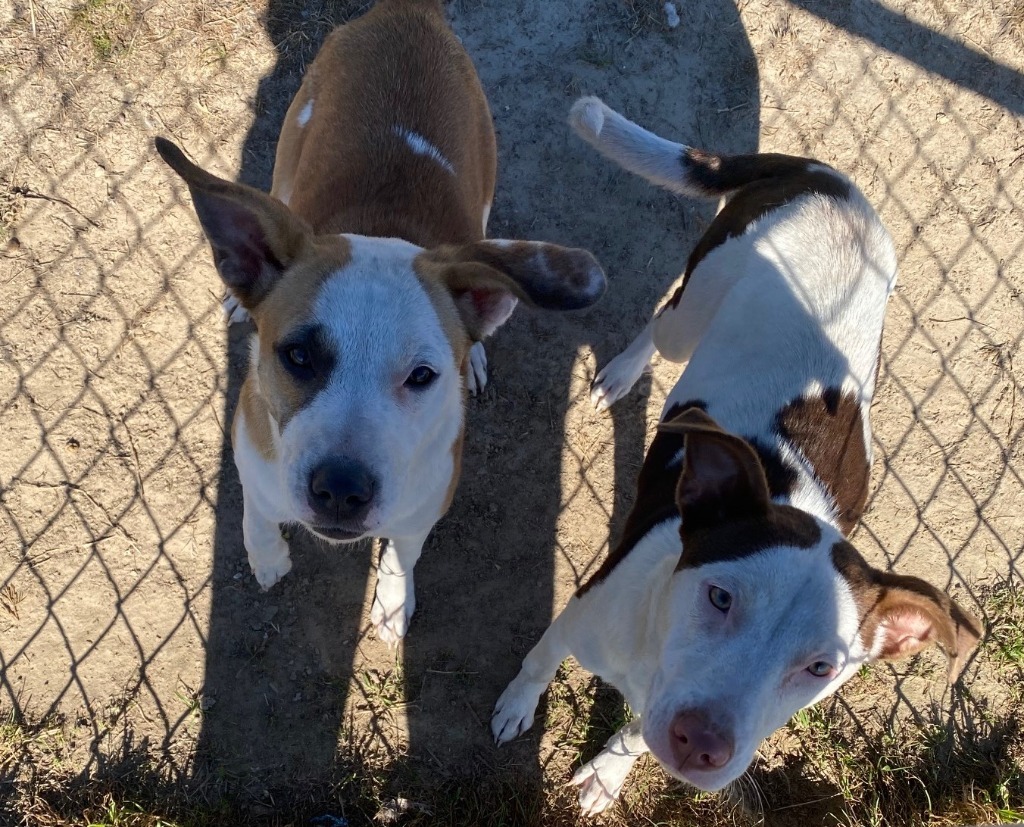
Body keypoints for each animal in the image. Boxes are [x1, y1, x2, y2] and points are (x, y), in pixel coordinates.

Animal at [154, 0, 602, 646]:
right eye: (298, 356)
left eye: (422, 376)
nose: (341, 490)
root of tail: (406, 11)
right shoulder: (251, 446)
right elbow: (256, 510)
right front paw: (268, 558)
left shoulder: (422, 509)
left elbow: (401, 554)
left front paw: (391, 603)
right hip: (287, 160)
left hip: (483, 195)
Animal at [491, 96, 978, 814]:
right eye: (720, 597)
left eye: (819, 667)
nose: (701, 742)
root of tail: (829, 179)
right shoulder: (576, 615)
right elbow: (535, 662)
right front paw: (517, 706)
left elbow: (633, 737)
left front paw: (608, 773)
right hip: (694, 307)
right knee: (660, 321)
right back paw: (622, 373)